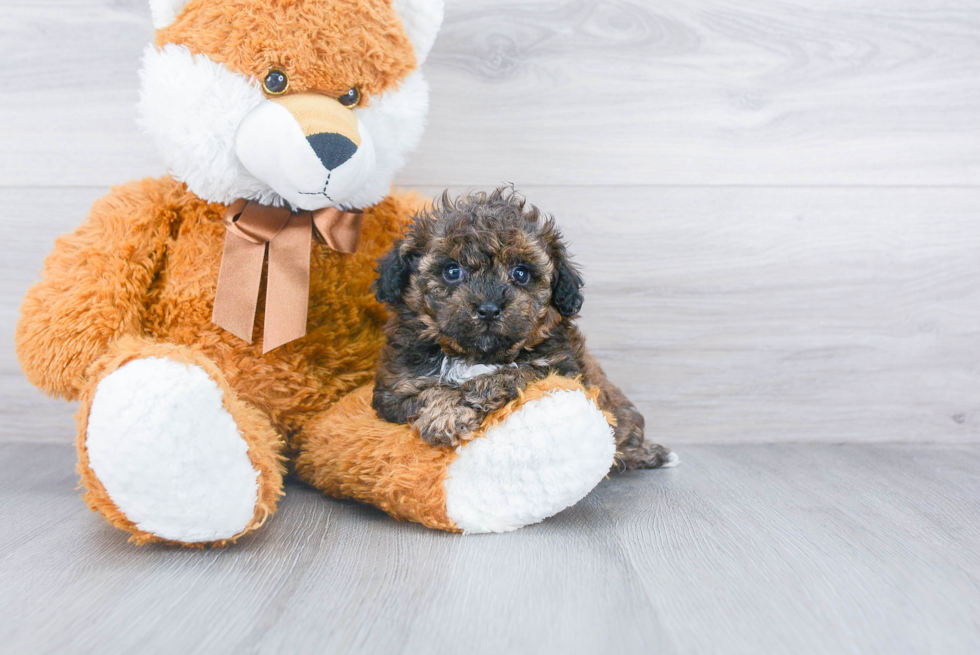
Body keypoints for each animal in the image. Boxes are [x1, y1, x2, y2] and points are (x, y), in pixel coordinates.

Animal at [368, 187, 672, 468]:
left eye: (521, 273)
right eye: (452, 271)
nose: (489, 309)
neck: (476, 356)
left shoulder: (560, 368)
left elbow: (516, 372)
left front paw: (469, 398)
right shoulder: (395, 389)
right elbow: (430, 391)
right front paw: (446, 415)